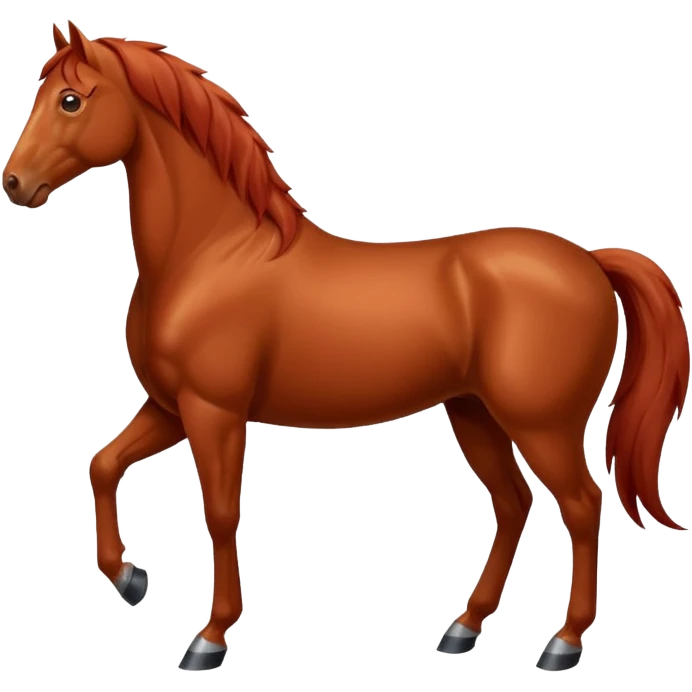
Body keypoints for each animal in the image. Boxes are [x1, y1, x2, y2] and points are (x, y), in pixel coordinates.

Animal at [3, 21, 688, 673]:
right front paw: (129, 579)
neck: (213, 254)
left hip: (542, 424)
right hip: (474, 414)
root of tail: (590, 262)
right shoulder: (171, 408)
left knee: (582, 506)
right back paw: (463, 630)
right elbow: (103, 465)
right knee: (514, 504)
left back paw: (563, 644)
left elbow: (220, 515)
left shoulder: (213, 412)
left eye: (70, 99)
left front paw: (210, 638)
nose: (14, 183)